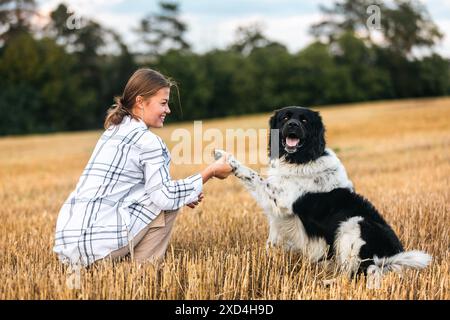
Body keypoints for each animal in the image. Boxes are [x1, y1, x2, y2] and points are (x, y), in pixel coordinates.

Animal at [214, 106, 432, 276]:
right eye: (285, 117)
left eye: (304, 120)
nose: (293, 125)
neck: (301, 159)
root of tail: (394, 256)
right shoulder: (279, 217)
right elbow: (272, 243)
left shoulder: (280, 199)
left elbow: (252, 175)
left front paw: (227, 159)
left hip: (354, 223)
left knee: (354, 274)